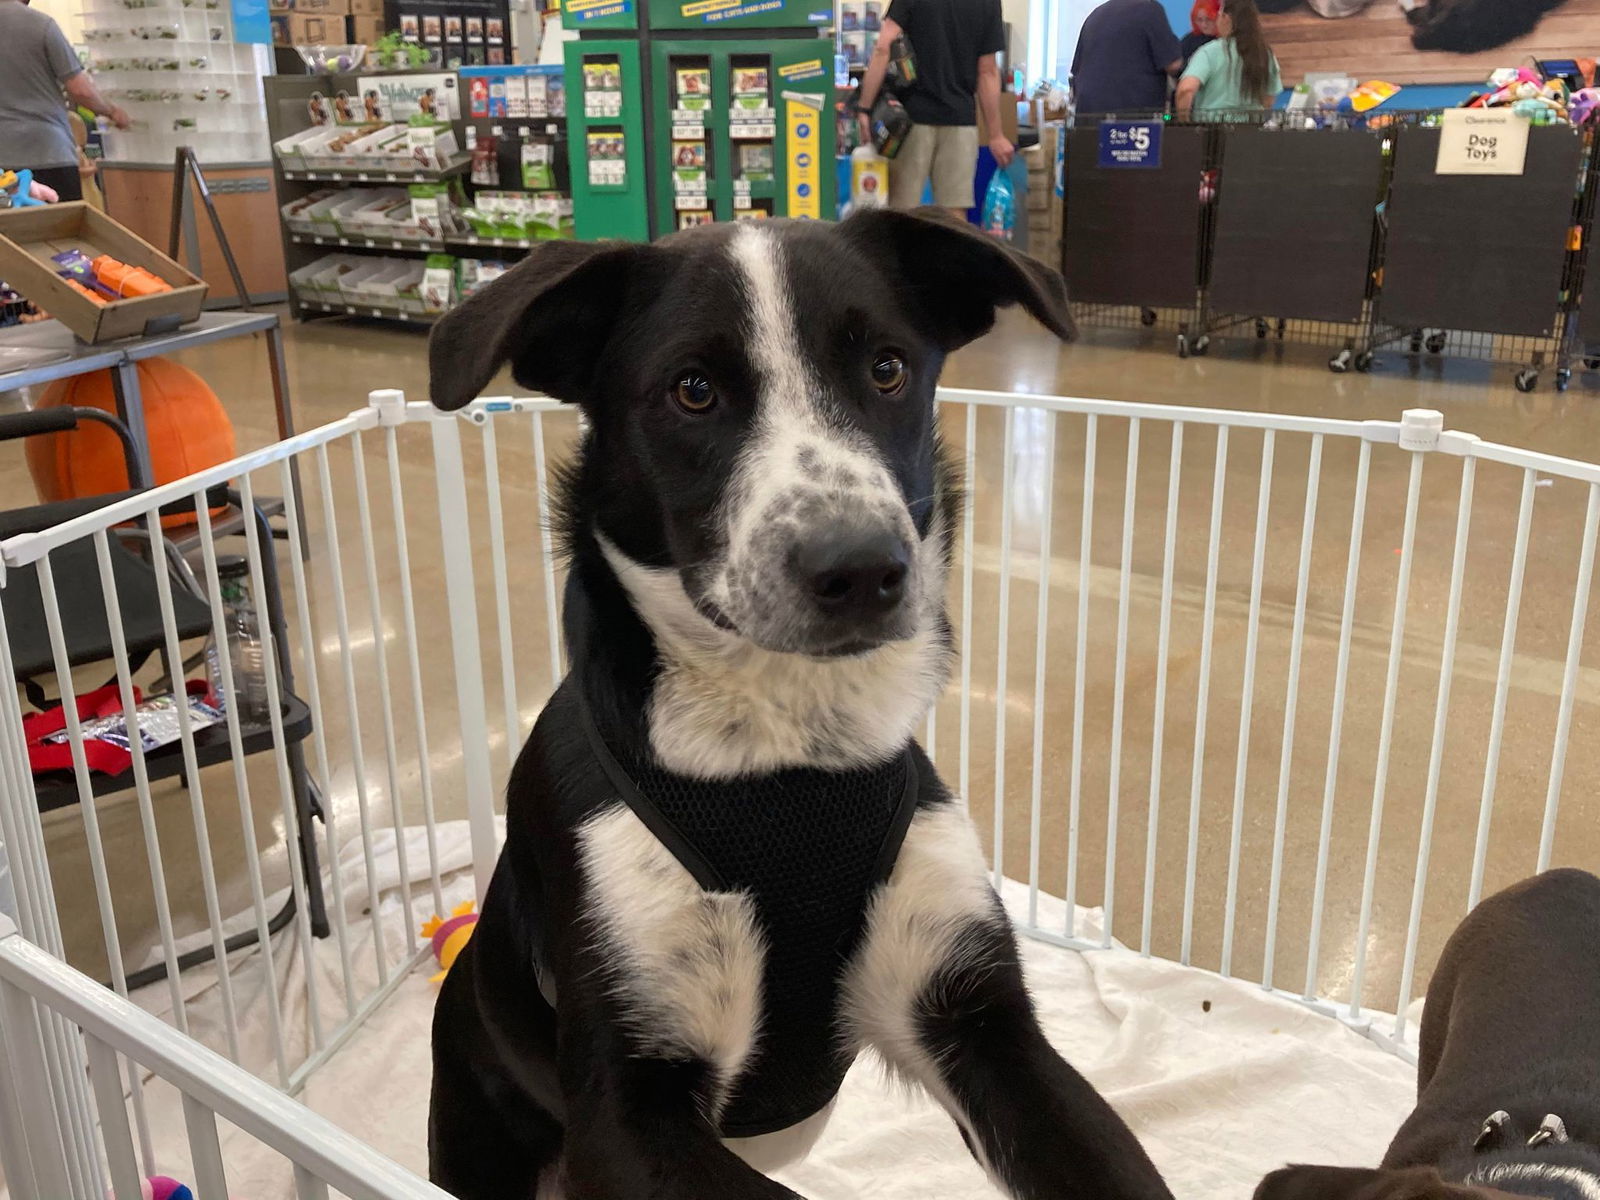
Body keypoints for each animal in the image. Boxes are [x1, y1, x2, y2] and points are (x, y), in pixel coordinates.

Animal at [425, 209, 1177, 1200]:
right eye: (693, 390)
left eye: (888, 368)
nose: (861, 568)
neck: (787, 758)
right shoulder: (624, 1111)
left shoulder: (983, 1021)